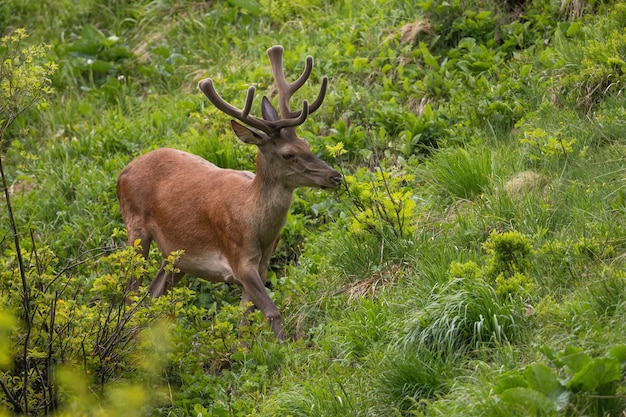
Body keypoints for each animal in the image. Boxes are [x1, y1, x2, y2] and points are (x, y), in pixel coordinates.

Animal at [117, 45, 342, 340]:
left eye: (306, 143)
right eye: (288, 154)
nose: (335, 176)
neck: (256, 226)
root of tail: (122, 173)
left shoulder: (262, 264)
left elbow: (245, 318)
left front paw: (247, 347)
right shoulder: (239, 259)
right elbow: (271, 311)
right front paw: (285, 345)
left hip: (176, 256)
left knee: (154, 292)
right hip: (136, 229)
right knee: (132, 295)